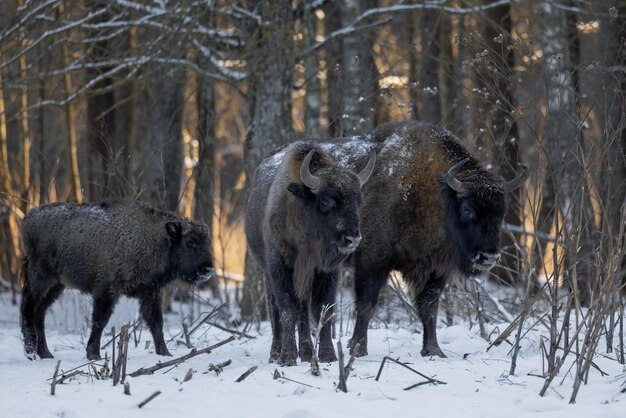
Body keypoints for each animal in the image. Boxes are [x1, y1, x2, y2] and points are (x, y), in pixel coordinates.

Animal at [20, 198, 214, 360]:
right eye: (190, 242)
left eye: (208, 243)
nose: (208, 269)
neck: (155, 240)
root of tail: (28, 218)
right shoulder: (107, 290)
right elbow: (100, 320)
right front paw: (94, 355)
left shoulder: (150, 293)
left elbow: (156, 322)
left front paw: (165, 354)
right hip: (41, 278)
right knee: (28, 308)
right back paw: (31, 353)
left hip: (57, 285)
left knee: (40, 312)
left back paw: (45, 353)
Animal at [244, 142, 372, 364]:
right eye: (326, 200)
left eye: (359, 201)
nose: (352, 239)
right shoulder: (280, 269)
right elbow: (288, 310)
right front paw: (287, 357)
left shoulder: (325, 272)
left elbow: (324, 310)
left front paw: (328, 355)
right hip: (267, 274)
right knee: (275, 308)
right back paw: (276, 353)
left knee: (303, 309)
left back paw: (305, 351)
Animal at [312, 119, 528, 358]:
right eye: (467, 209)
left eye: (501, 213)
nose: (488, 257)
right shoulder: (372, 261)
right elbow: (366, 306)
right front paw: (358, 348)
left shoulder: (436, 270)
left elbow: (430, 308)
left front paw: (434, 351)